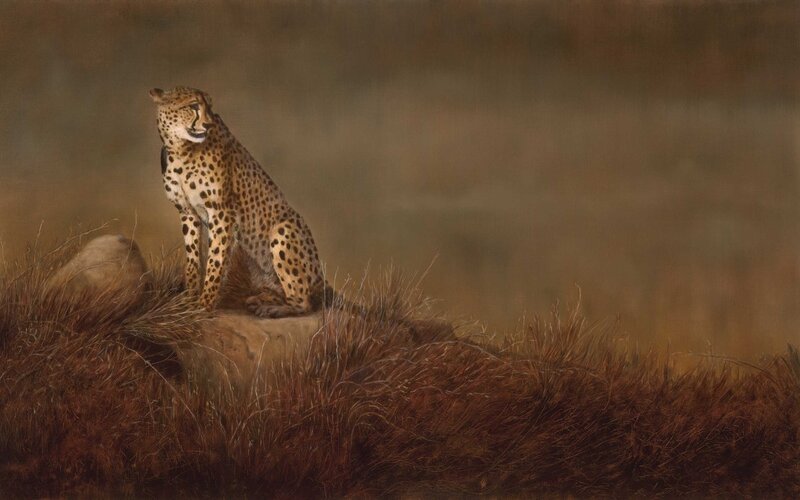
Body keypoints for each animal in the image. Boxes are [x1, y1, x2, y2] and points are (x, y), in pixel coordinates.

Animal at [150, 86, 328, 318]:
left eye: (209, 106)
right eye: (193, 105)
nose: (208, 124)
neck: (181, 149)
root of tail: (321, 280)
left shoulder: (222, 213)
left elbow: (215, 261)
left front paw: (203, 305)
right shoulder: (187, 212)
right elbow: (193, 258)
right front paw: (188, 299)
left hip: (283, 230)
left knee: (303, 302)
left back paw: (272, 308)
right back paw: (259, 298)